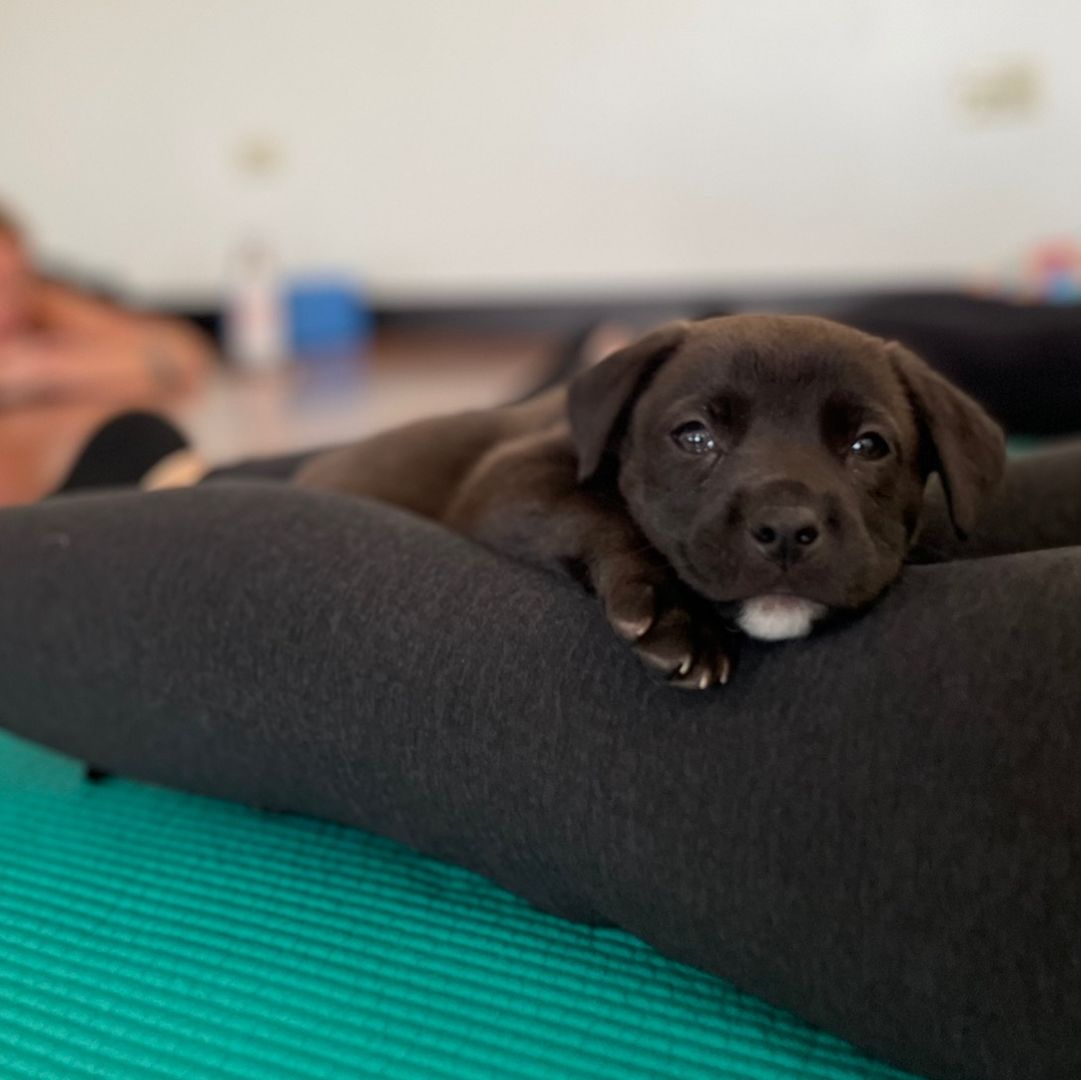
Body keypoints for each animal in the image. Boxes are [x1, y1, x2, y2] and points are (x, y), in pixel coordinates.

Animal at [296, 315, 1003, 687]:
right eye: (694, 436)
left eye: (868, 446)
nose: (784, 528)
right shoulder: (509, 478)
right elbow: (601, 509)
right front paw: (673, 613)